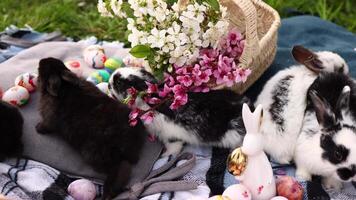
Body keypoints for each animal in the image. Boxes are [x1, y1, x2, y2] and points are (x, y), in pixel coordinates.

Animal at [36, 57, 146, 198]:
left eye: (40, 71)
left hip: (94, 154)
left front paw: (38, 128)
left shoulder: (49, 118)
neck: (65, 87)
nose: (41, 60)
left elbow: (46, 125)